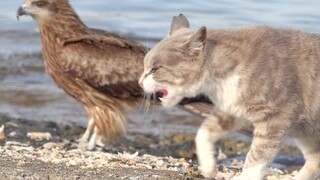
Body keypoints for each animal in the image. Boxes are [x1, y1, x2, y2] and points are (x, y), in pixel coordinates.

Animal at [139, 14, 320, 180]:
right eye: (146, 67)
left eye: (155, 69)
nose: (140, 82)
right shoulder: (231, 109)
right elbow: (203, 132)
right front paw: (208, 165)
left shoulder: (277, 117)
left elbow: (257, 156)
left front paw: (247, 176)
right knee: (315, 160)